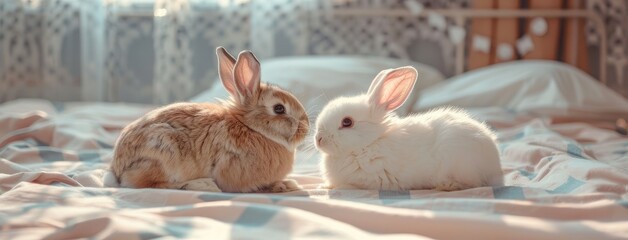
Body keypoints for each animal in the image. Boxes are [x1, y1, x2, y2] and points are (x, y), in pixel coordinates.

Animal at [112, 47, 312, 193]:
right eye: (279, 108)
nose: (306, 126)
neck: (252, 128)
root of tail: (117, 170)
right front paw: (284, 185)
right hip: (163, 153)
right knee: (146, 183)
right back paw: (201, 185)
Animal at [314, 66, 506, 190]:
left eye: (347, 122)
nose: (318, 139)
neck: (370, 142)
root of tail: (496, 167)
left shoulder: (371, 180)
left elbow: (348, 185)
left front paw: (327, 187)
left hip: (461, 162)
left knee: (475, 183)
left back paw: (447, 186)